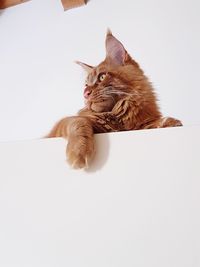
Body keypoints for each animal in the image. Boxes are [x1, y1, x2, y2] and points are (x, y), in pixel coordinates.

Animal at [47, 30, 182, 169]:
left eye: (101, 77)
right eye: (86, 85)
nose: (85, 93)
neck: (117, 114)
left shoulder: (139, 125)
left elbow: (150, 124)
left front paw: (168, 122)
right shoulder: (64, 124)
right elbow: (80, 122)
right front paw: (79, 151)